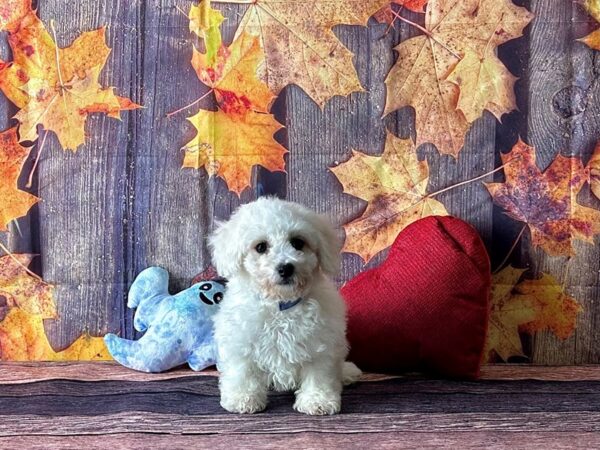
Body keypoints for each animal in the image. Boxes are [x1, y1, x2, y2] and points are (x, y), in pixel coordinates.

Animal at [210, 197, 360, 414]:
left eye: (297, 242)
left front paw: (317, 401)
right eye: (261, 247)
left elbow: (319, 373)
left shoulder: (321, 343)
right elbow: (243, 370)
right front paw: (243, 398)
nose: (286, 268)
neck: (280, 304)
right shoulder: (240, 341)